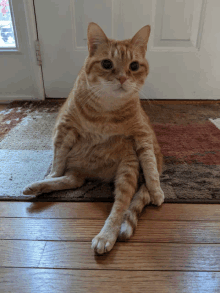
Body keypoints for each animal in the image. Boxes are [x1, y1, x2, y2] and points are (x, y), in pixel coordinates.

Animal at [23, 22, 164, 253]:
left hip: (128, 165)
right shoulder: (64, 128)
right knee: (72, 180)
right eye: (107, 63)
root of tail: (94, 173)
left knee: (120, 207)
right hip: (79, 165)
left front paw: (157, 190)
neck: (107, 107)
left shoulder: (141, 134)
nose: (122, 78)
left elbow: (150, 166)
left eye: (134, 66)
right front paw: (51, 175)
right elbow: (58, 159)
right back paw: (39, 185)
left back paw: (105, 236)